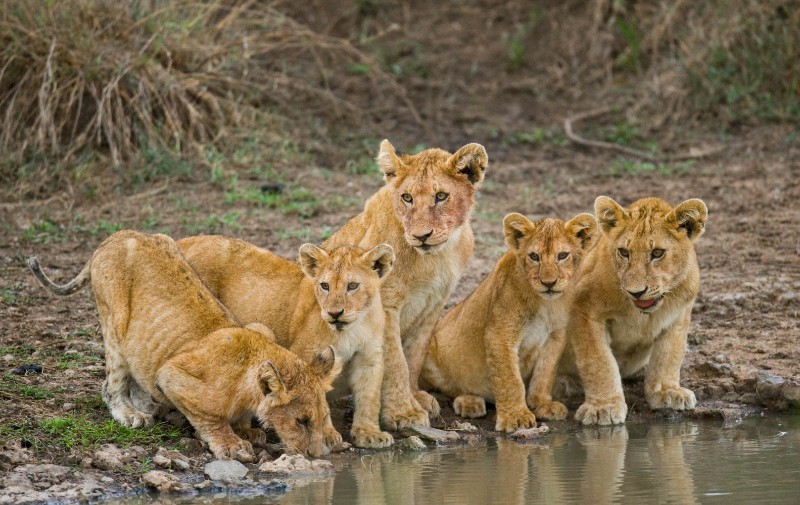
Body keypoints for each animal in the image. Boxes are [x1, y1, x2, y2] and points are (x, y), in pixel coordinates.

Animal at [27, 230, 339, 461]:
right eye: (301, 421)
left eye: (324, 417)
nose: (318, 454)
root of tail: (116, 235)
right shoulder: (172, 374)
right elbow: (210, 416)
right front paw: (231, 442)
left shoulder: (260, 327)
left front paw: (246, 430)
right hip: (114, 321)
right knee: (111, 383)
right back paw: (131, 414)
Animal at [177, 236, 396, 449]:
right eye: (325, 286)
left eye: (352, 286)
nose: (334, 314)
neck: (353, 326)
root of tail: (183, 240)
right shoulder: (307, 353)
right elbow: (318, 396)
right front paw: (327, 434)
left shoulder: (369, 358)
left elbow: (370, 397)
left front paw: (369, 433)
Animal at [322, 139, 488, 429]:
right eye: (407, 198)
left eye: (441, 196)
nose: (422, 236)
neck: (434, 258)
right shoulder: (386, 306)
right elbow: (395, 360)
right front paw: (403, 412)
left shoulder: (435, 303)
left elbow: (414, 354)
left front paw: (416, 397)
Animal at [421, 212, 598, 432]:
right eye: (534, 256)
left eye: (563, 255)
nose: (548, 283)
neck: (546, 304)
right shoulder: (500, 334)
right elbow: (510, 380)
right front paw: (516, 416)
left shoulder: (556, 336)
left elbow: (545, 373)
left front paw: (542, 404)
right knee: (452, 387)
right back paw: (470, 402)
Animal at [565, 196, 708, 425]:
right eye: (624, 252)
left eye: (657, 253)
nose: (636, 292)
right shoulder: (583, 309)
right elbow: (598, 360)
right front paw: (603, 406)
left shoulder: (679, 315)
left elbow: (669, 355)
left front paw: (667, 391)